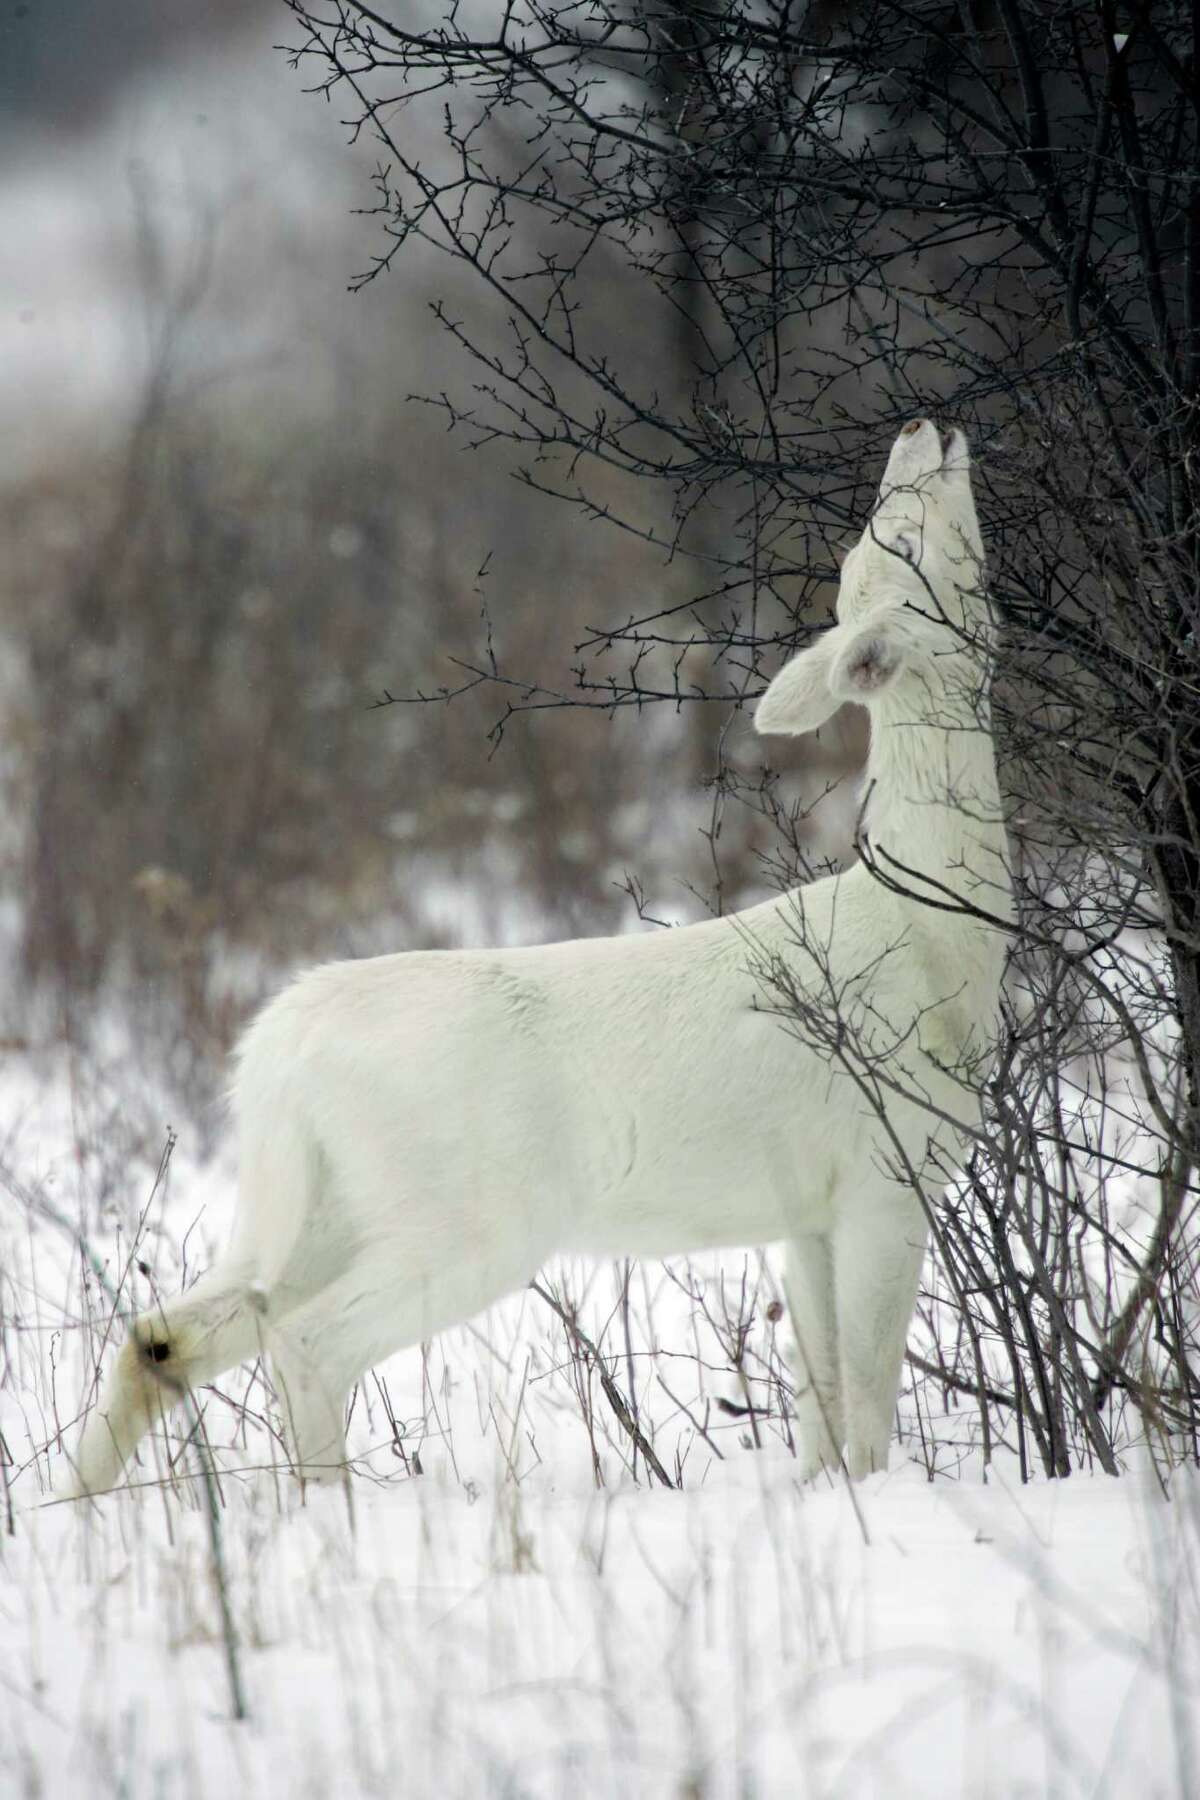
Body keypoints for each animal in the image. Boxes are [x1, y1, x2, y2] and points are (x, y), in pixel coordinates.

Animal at [72, 417, 1014, 1490]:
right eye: (895, 542)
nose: (922, 426)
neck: (937, 930)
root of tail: (278, 1049)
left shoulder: (805, 1211)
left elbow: (818, 1401)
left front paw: (823, 1496)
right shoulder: (885, 1175)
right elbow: (864, 1401)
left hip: (316, 1205)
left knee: (166, 1335)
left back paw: (82, 1506)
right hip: (472, 1217)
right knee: (305, 1342)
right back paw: (326, 1509)